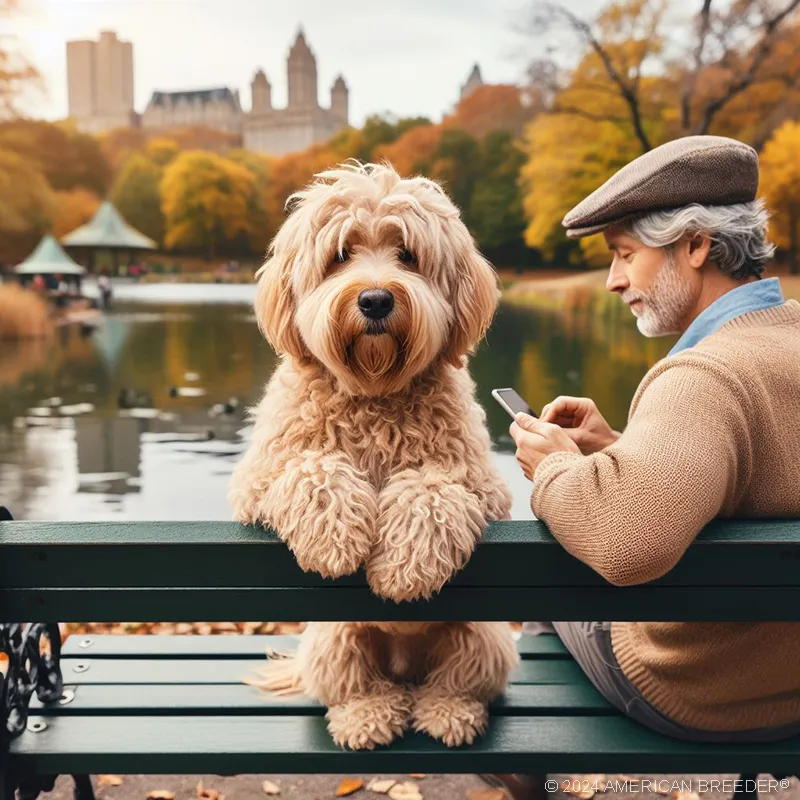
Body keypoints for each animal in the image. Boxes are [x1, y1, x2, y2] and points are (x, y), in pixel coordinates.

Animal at [230, 161, 520, 752]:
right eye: (340, 255)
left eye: (408, 254)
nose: (376, 300)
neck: (374, 392)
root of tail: (405, 671)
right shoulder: (261, 475)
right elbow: (312, 468)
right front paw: (336, 539)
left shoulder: (483, 487)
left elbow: (431, 488)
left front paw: (404, 569)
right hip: (334, 639)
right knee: (355, 686)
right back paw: (366, 716)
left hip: (484, 637)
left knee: (457, 681)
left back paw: (448, 713)